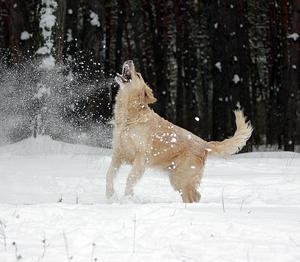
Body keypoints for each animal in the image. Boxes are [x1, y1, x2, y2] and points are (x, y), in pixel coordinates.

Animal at [106, 61, 253, 203]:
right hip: (177, 178)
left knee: (193, 197)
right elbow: (109, 174)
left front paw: (127, 198)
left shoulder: (141, 157)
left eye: (138, 75)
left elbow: (130, 178)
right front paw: (110, 195)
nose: (129, 60)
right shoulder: (118, 153)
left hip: (181, 178)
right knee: (196, 196)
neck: (130, 116)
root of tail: (204, 144)